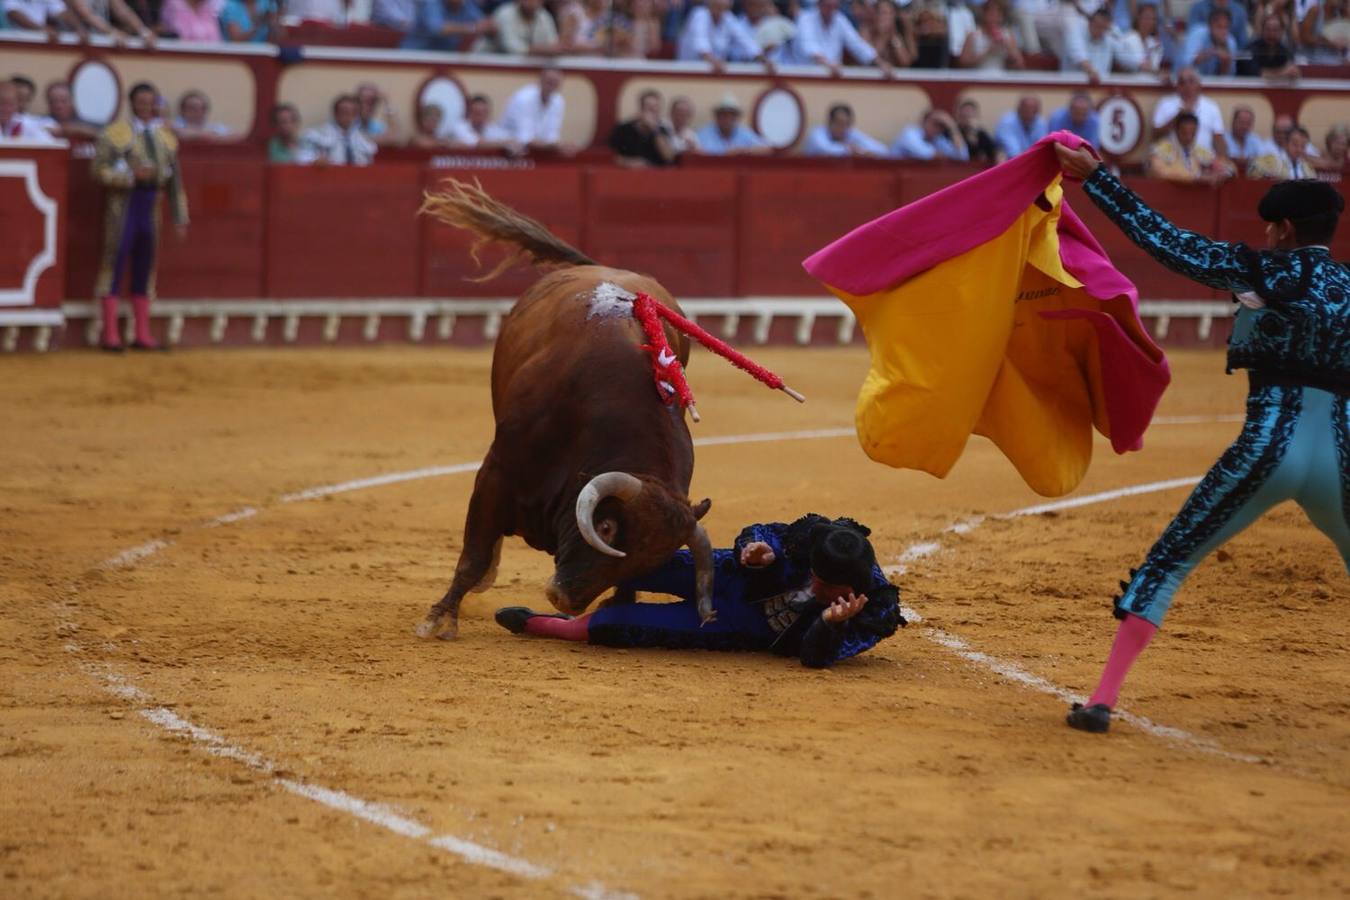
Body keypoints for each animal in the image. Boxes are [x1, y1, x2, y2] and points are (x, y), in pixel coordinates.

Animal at [415, 179, 718, 636]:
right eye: (606, 527)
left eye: (651, 560)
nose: (564, 600)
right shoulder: (496, 472)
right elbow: (474, 555)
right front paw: (439, 619)